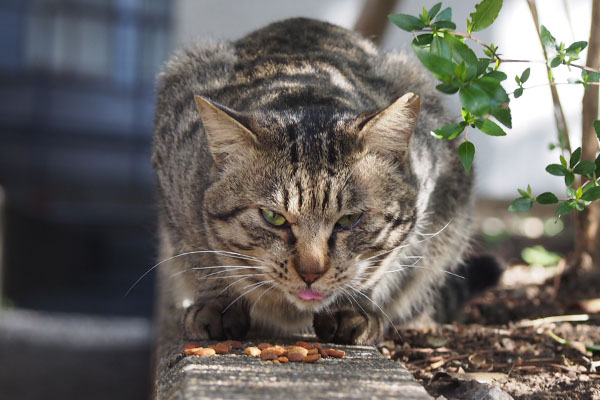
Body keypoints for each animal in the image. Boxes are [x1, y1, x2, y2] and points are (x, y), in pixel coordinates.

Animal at [152, 18, 500, 344]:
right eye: (273, 217)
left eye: (349, 220)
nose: (310, 273)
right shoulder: (175, 195)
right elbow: (203, 258)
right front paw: (218, 304)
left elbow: (380, 264)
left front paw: (354, 309)